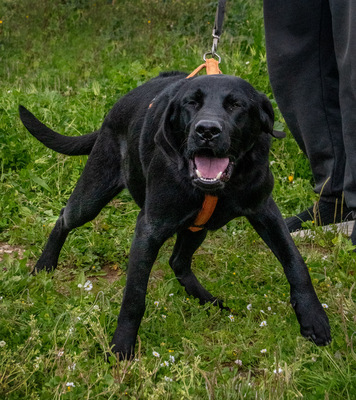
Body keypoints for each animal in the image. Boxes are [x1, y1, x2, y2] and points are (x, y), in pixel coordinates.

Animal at [18, 72, 330, 360]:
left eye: (236, 105)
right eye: (191, 103)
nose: (207, 130)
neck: (215, 187)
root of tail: (115, 108)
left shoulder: (264, 209)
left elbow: (296, 263)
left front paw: (313, 318)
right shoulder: (150, 227)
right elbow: (134, 296)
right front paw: (121, 347)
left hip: (196, 227)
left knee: (178, 261)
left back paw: (209, 301)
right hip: (92, 195)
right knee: (64, 217)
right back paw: (44, 265)